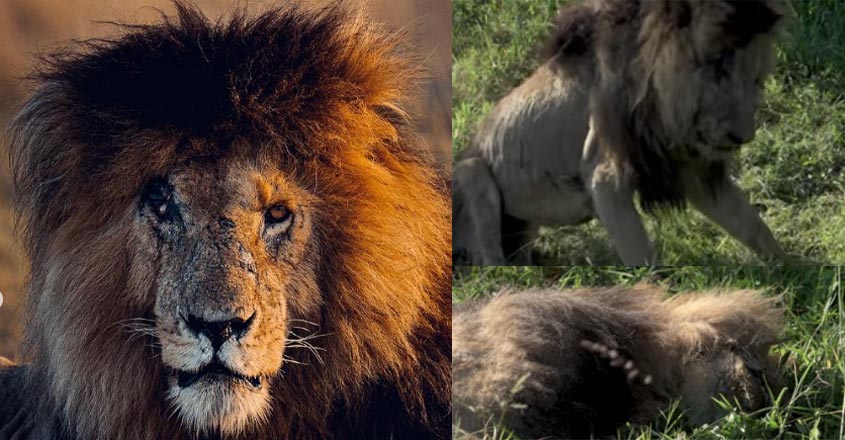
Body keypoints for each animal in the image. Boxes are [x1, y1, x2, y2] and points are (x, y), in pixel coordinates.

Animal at [452, 0, 787, 265]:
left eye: (756, 80)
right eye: (717, 68)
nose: (743, 138)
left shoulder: (689, 167)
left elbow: (752, 225)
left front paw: (792, 272)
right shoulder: (604, 178)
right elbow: (641, 257)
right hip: (472, 169)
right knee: (489, 263)